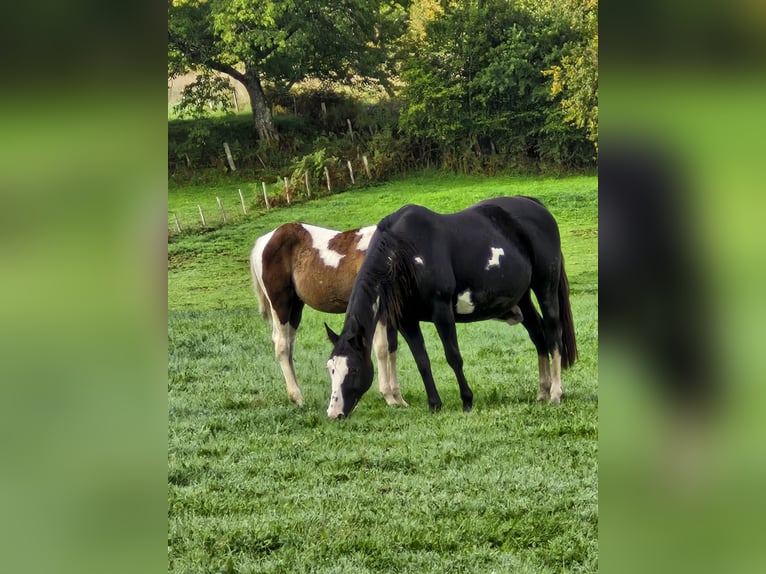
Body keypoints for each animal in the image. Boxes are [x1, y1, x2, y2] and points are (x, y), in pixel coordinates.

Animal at [250, 222, 407, 407]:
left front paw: (399, 398)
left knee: (289, 345)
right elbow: (382, 349)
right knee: (281, 345)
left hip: (295, 307)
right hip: (281, 305)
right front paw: (388, 397)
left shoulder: (391, 313)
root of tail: (265, 240)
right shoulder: (378, 310)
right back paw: (297, 397)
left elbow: (393, 349)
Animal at [324, 196, 578, 418]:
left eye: (353, 369)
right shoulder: (407, 320)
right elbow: (422, 361)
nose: (334, 413)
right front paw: (434, 404)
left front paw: (467, 400)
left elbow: (453, 356)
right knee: (539, 336)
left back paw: (555, 393)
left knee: (553, 335)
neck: (405, 251)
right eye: (331, 369)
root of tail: (536, 205)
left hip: (545, 287)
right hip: (522, 298)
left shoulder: (442, 311)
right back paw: (542, 391)